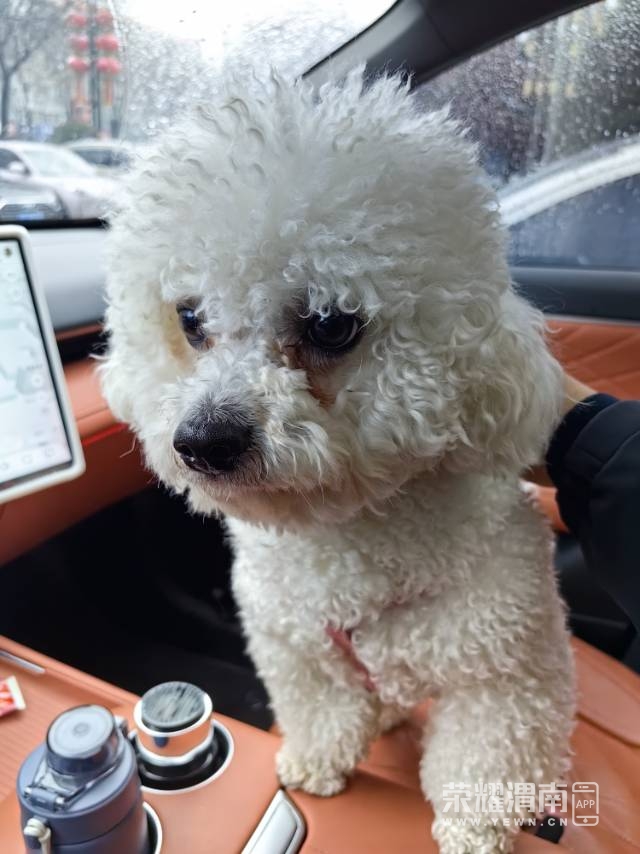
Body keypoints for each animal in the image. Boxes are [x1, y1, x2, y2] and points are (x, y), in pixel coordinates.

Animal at [102, 69, 575, 853]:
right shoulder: (291, 640)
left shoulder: (503, 670)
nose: (202, 442)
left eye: (331, 323)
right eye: (190, 318)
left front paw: (475, 830)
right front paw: (318, 761)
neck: (347, 539)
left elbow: (484, 753)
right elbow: (321, 704)